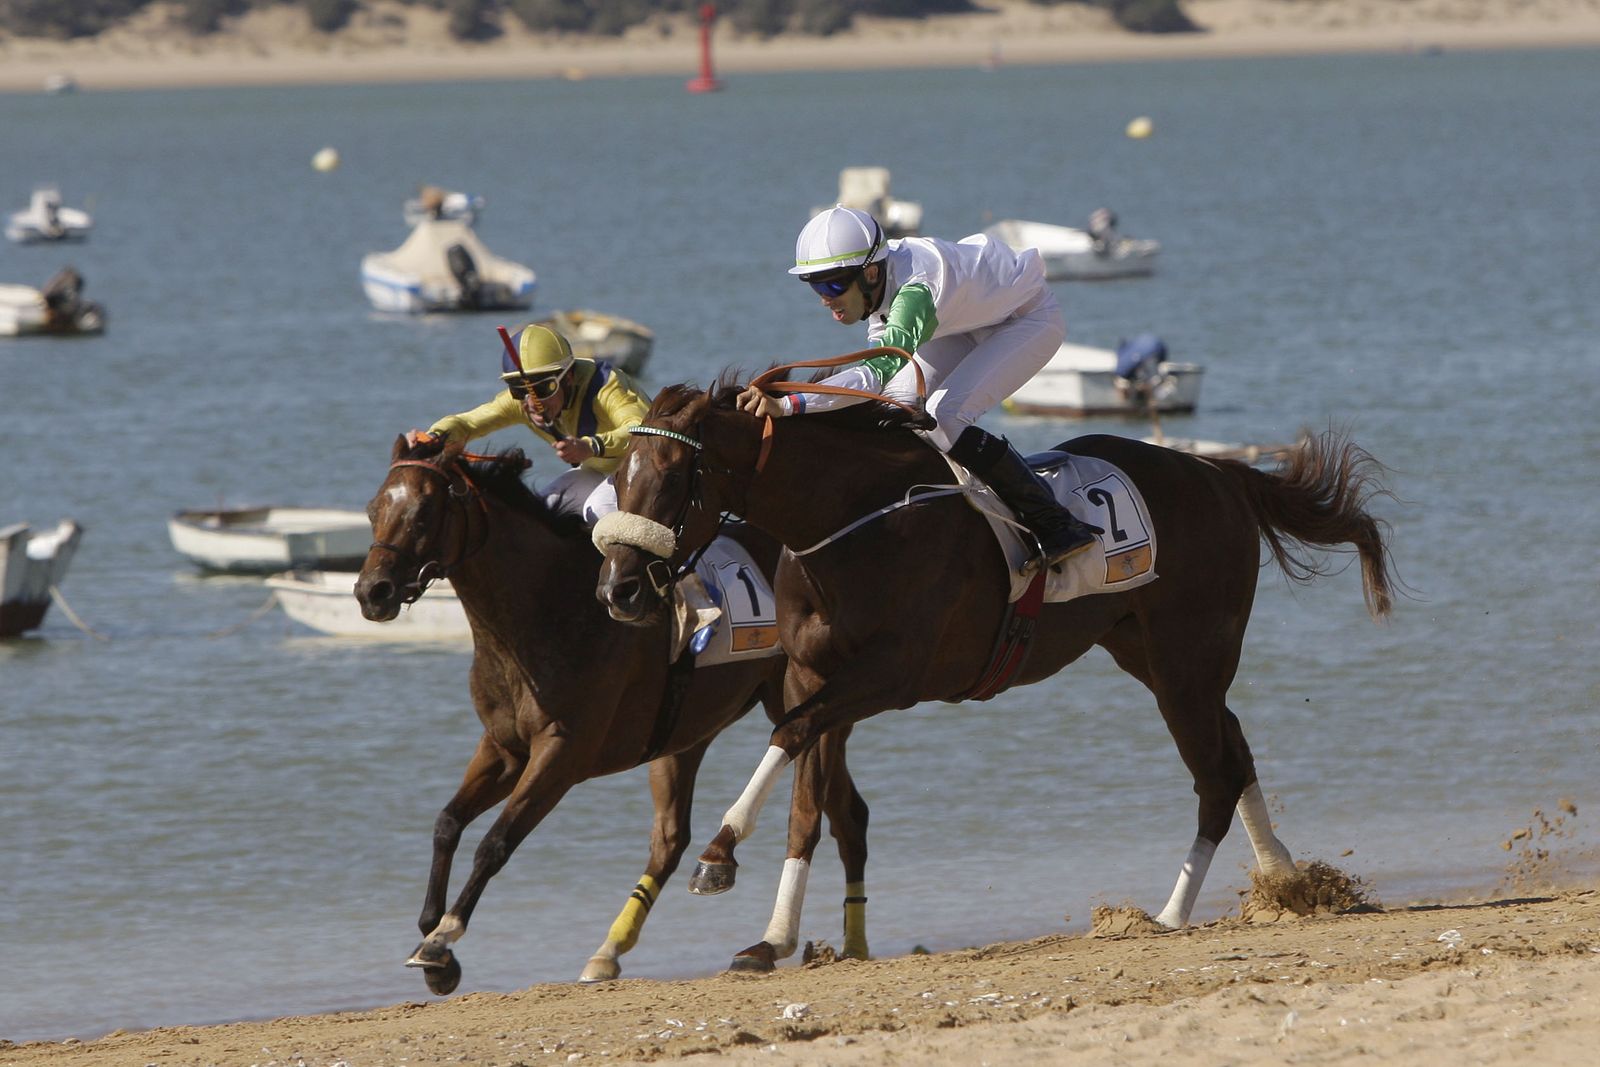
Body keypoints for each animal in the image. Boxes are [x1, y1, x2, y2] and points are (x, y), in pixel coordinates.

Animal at [353, 435, 871, 993]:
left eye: (425, 512)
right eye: (374, 509)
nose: (371, 592)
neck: (542, 613)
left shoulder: (561, 753)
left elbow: (495, 842)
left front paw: (442, 941)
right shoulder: (503, 747)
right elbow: (447, 822)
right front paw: (433, 939)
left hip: (803, 702)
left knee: (843, 814)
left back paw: (846, 945)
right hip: (687, 734)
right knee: (675, 838)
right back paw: (610, 950)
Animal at [594, 379, 1396, 972]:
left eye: (673, 476)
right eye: (619, 477)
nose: (619, 590)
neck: (850, 518)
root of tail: (1218, 473)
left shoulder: (892, 672)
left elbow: (792, 740)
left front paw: (718, 854)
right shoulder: (809, 674)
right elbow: (805, 799)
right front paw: (772, 938)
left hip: (1185, 659)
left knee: (1216, 773)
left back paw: (1170, 913)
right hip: (1154, 654)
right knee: (1234, 750)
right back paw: (1285, 880)